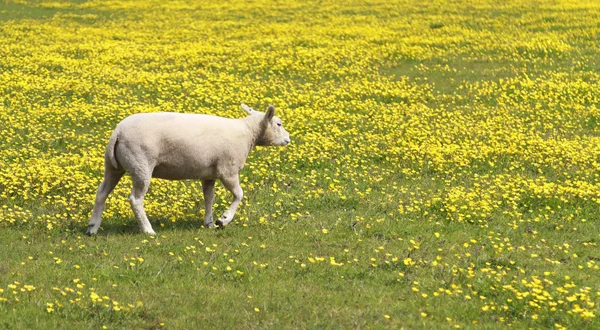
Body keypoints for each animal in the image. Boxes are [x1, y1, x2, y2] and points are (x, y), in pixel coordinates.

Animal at [85, 103, 290, 235]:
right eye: (279, 124)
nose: (288, 139)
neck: (247, 133)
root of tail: (118, 132)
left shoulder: (209, 174)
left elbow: (209, 197)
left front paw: (209, 223)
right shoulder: (228, 170)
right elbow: (239, 194)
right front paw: (223, 219)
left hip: (114, 166)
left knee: (101, 192)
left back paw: (92, 227)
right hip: (141, 164)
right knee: (135, 199)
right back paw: (148, 230)